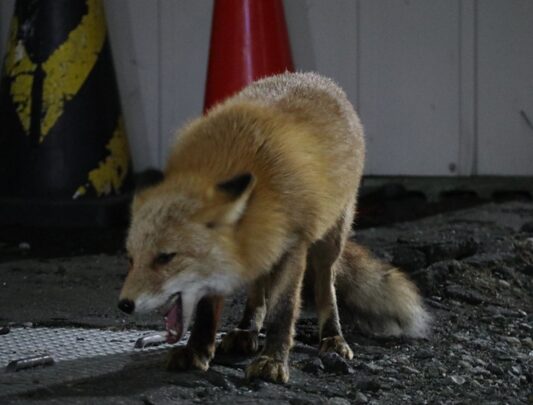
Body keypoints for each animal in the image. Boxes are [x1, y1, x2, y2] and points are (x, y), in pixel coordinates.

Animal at [117, 71, 428, 384]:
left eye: (166, 258)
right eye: (131, 259)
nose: (124, 305)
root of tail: (315, 77)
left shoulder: (293, 245)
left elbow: (283, 309)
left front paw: (273, 360)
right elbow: (207, 310)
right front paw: (197, 350)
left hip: (330, 239)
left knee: (326, 286)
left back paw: (332, 337)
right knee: (258, 289)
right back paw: (247, 330)